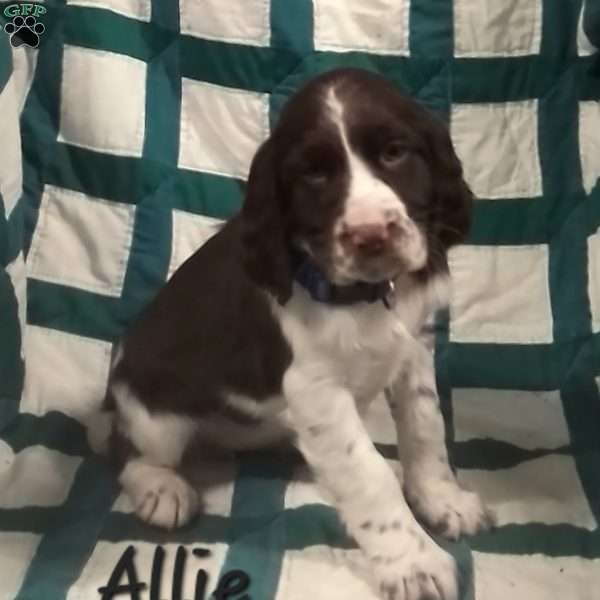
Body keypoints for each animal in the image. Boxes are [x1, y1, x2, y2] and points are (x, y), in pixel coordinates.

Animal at [92, 68, 492, 596]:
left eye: (394, 153)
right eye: (314, 174)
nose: (370, 236)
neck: (364, 297)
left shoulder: (412, 353)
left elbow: (426, 428)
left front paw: (443, 501)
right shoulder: (315, 389)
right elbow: (368, 474)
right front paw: (413, 564)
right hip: (155, 418)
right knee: (129, 453)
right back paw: (163, 489)